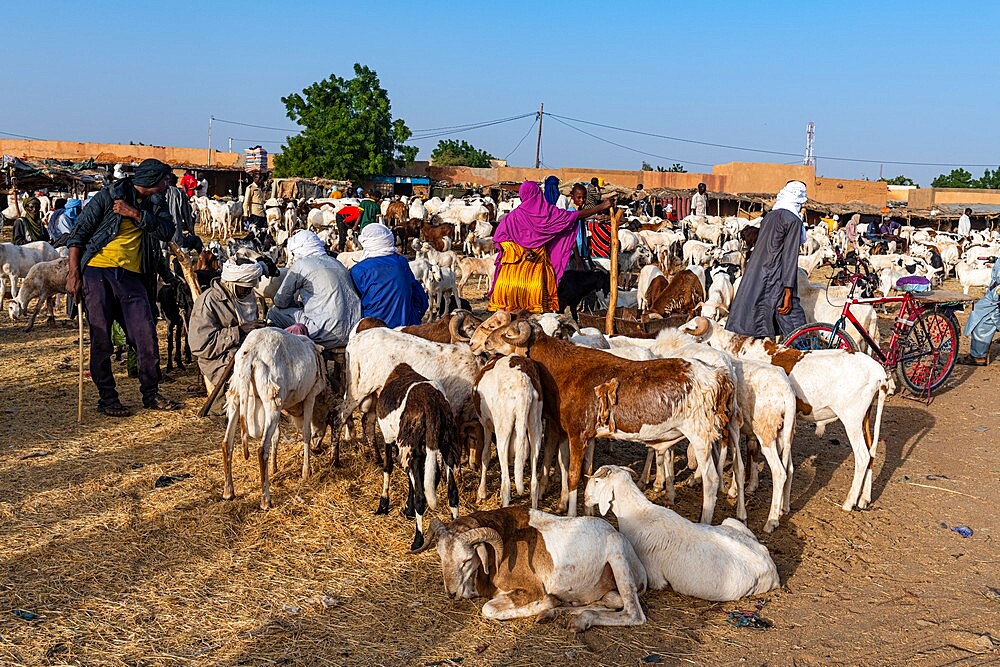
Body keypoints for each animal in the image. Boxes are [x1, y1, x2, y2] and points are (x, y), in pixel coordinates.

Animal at [584, 468, 780, 604]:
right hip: (731, 522)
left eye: (597, 481)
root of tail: (772, 570)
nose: (585, 498)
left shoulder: (653, 576)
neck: (639, 513)